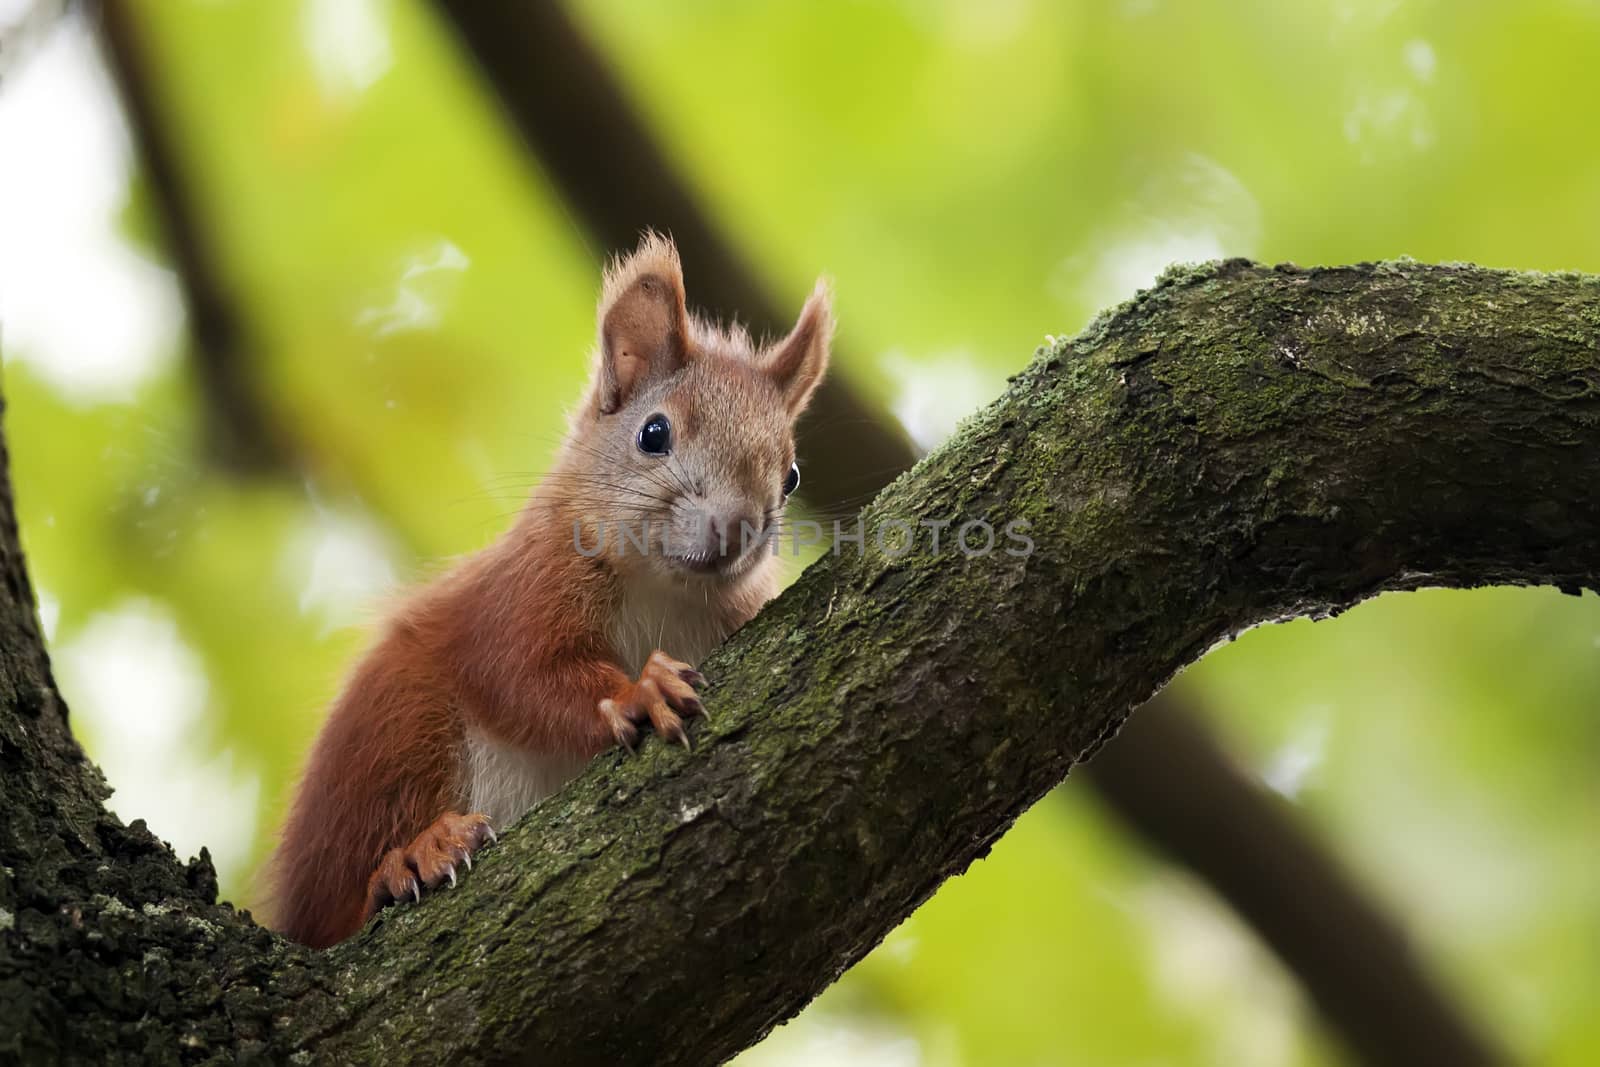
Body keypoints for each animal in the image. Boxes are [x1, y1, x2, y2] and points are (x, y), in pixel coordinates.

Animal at [270, 235, 832, 953]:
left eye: (791, 476)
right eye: (654, 433)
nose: (737, 529)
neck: (664, 589)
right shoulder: (523, 590)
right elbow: (521, 675)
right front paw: (638, 690)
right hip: (395, 738)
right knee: (340, 903)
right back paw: (411, 859)